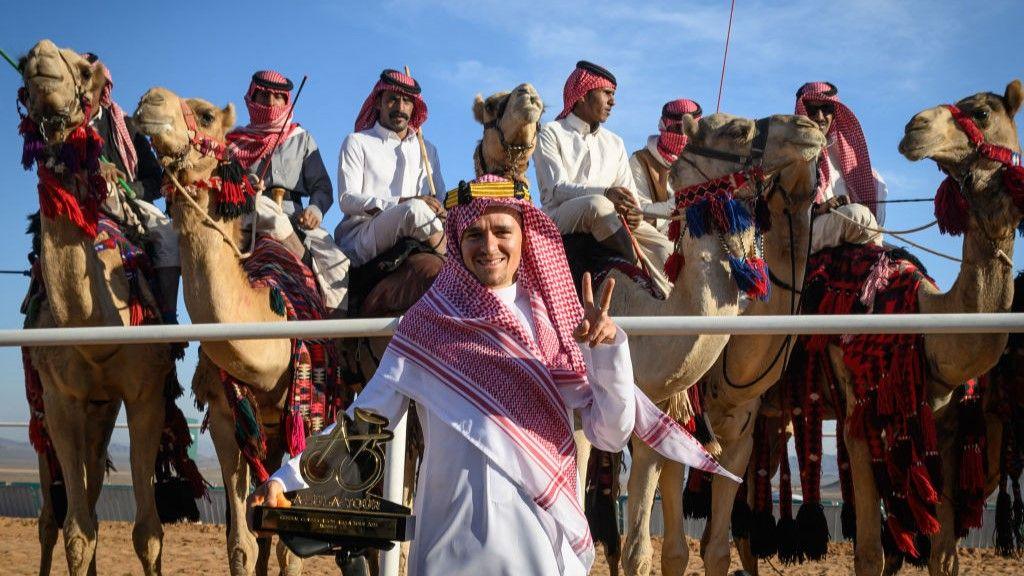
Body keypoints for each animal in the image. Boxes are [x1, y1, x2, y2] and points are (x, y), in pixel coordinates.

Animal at [704, 79, 1024, 573]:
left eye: (982, 113)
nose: (915, 127)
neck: (923, 320)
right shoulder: (858, 407)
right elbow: (872, 551)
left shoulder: (946, 430)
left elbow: (941, 554)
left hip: (769, 417)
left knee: (742, 522)